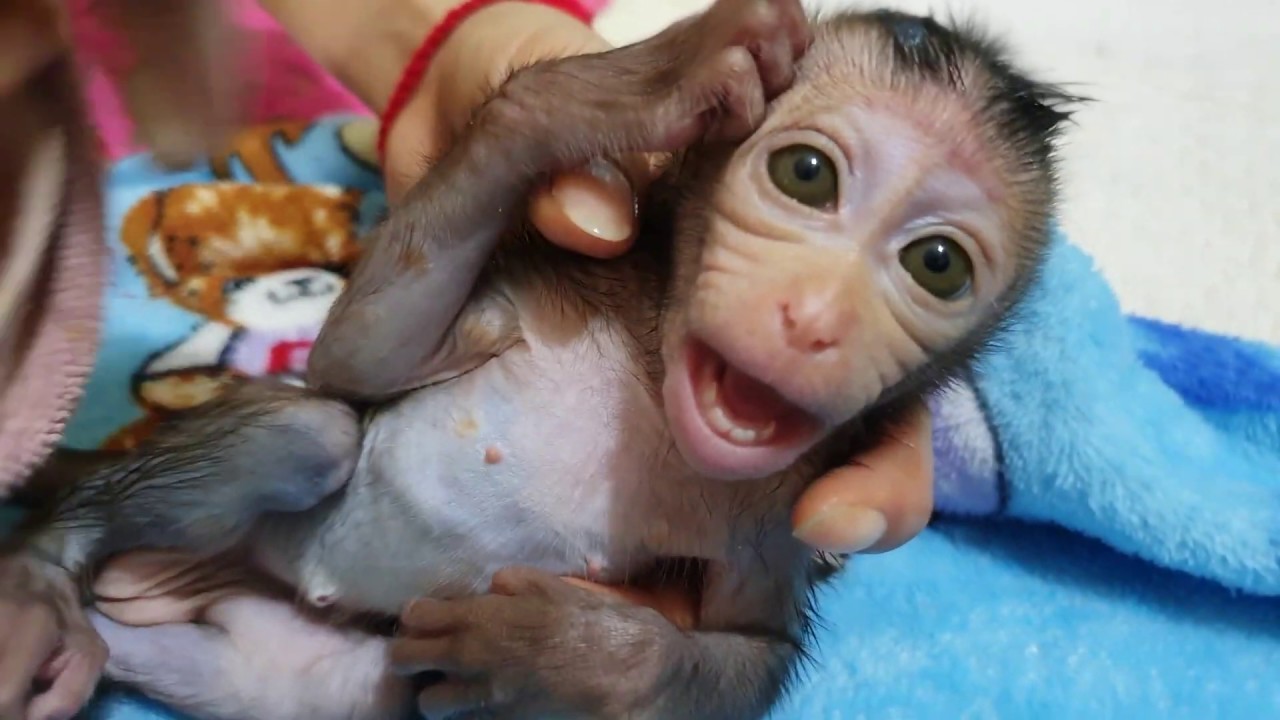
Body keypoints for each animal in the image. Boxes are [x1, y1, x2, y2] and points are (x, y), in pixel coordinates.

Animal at [2, 1, 1079, 718]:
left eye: (936, 264)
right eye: (805, 174)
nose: (815, 319)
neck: (647, 382)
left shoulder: (781, 518)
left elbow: (748, 648)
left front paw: (558, 654)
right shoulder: (543, 289)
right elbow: (360, 357)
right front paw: (622, 90)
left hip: (315, 669)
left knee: (336, 687)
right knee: (308, 427)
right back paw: (50, 568)